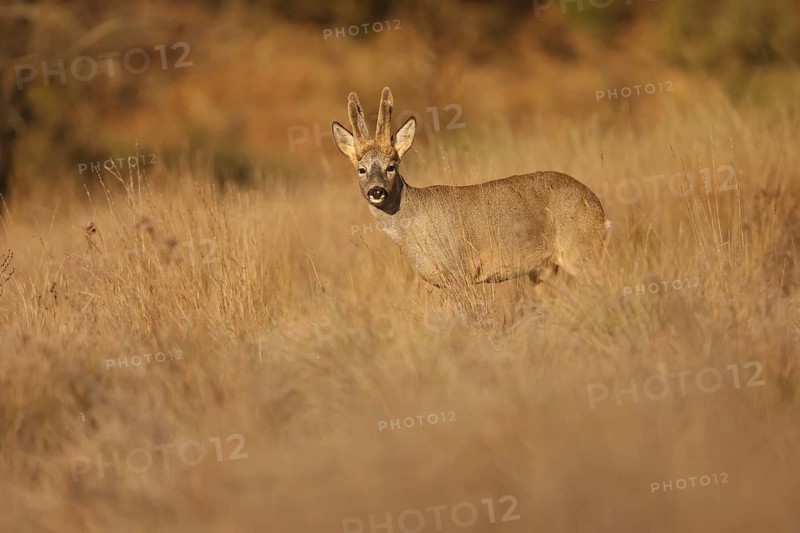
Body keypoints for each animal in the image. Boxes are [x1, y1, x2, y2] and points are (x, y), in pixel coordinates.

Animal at [331, 87, 611, 288]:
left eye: (391, 167)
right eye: (361, 169)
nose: (376, 191)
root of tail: (598, 205)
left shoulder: (460, 272)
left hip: (581, 250)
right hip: (545, 269)